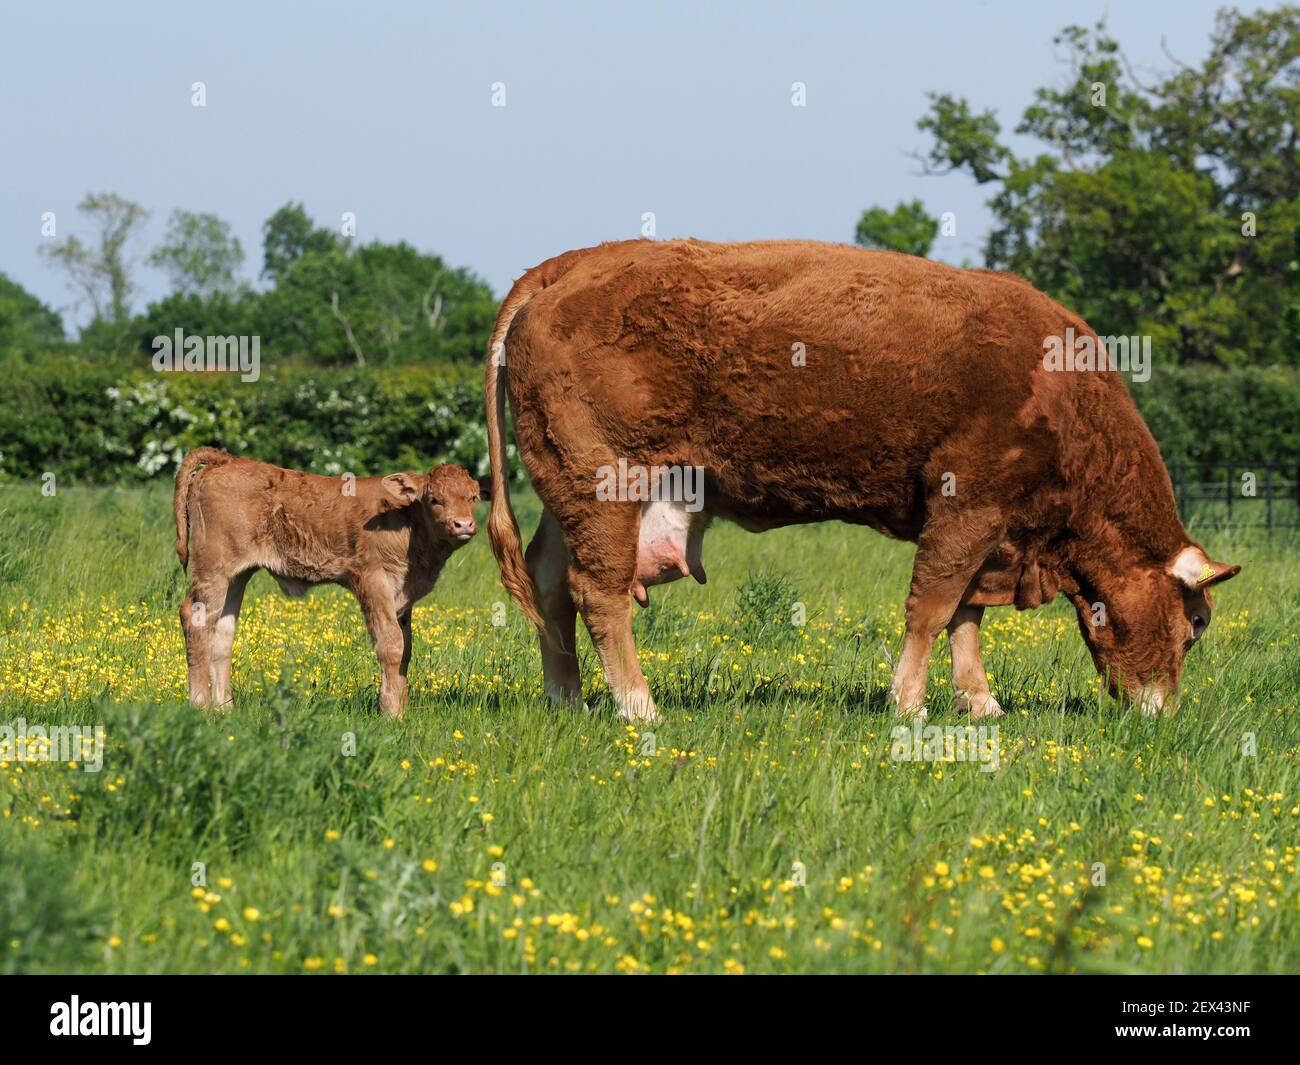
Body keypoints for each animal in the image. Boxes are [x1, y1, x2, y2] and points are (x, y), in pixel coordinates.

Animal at [172, 448, 485, 716]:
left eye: (472, 498)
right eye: (434, 500)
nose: (463, 525)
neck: (407, 523)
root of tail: (227, 460)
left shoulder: (403, 593)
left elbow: (406, 648)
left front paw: (400, 705)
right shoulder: (373, 581)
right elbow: (391, 644)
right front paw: (391, 712)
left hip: (236, 575)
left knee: (222, 631)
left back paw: (225, 708)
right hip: (212, 568)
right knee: (195, 619)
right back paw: (200, 705)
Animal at [484, 239, 1240, 723]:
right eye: (1197, 623)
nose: (1162, 714)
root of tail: (565, 265)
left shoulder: (990, 530)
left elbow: (967, 613)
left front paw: (979, 701)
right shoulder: (968, 506)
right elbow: (933, 605)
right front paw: (907, 702)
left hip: (567, 488)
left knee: (549, 583)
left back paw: (567, 696)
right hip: (603, 484)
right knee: (598, 593)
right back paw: (638, 706)